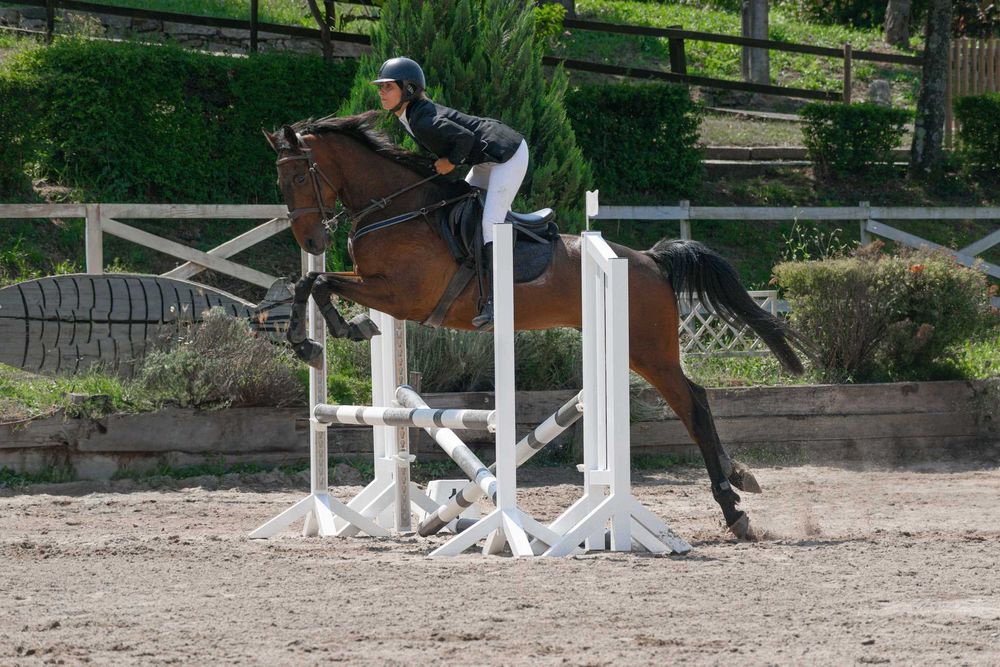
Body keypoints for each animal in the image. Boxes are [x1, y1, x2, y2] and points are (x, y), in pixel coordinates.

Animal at [264, 110, 810, 539]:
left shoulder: (404, 296)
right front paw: (317, 339)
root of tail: (651, 260)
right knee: (694, 400)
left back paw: (733, 507)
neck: (398, 208)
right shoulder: (380, 288)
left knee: (692, 402)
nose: (311, 238)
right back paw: (738, 481)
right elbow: (310, 281)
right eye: (281, 182)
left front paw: (332, 333)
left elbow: (318, 281)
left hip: (647, 349)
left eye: (299, 178)